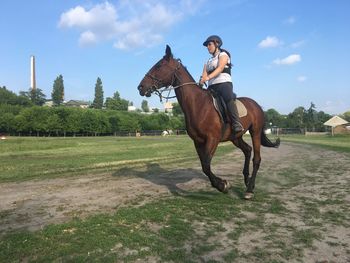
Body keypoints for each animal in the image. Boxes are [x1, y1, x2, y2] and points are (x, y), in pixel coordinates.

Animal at [137, 45, 278, 199]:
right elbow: (205, 166)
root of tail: (257, 105)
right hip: (236, 137)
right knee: (247, 150)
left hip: (255, 132)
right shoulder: (198, 142)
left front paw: (222, 185)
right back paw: (247, 182)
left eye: (159, 65)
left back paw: (249, 190)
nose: (141, 87)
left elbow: (206, 164)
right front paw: (221, 184)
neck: (198, 104)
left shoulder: (212, 139)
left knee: (256, 159)